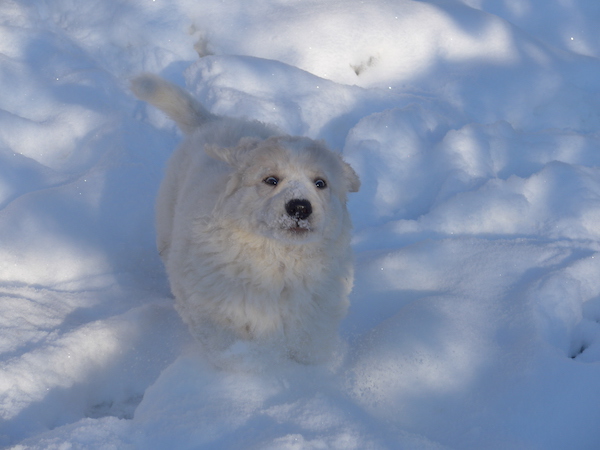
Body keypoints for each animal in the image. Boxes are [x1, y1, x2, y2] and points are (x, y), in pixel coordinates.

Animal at [131, 71, 358, 366]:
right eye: (271, 180)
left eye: (320, 183)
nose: (299, 207)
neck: (279, 258)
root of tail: (215, 120)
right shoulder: (215, 306)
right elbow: (230, 343)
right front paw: (249, 366)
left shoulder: (315, 311)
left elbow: (306, 345)